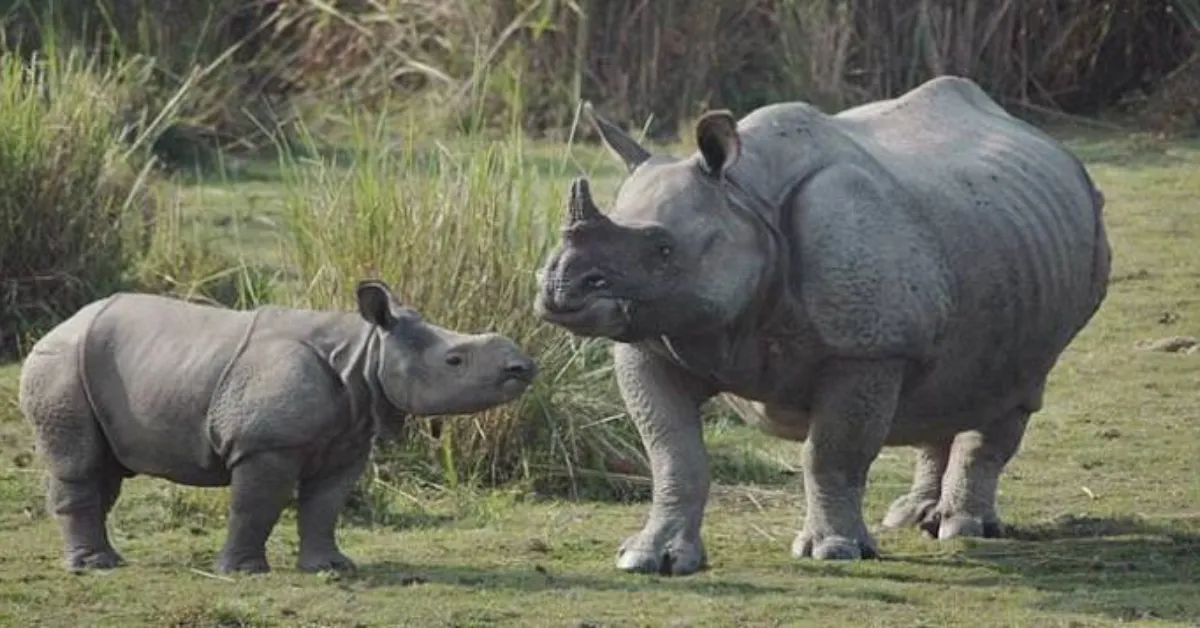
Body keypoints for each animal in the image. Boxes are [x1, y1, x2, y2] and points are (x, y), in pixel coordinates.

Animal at [19, 279, 537, 574]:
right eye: (455, 360)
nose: (524, 367)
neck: (365, 354)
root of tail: (57, 326)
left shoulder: (348, 438)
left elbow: (325, 505)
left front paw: (332, 569)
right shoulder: (266, 443)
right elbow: (256, 505)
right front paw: (244, 572)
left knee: (105, 469)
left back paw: (102, 559)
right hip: (60, 364)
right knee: (80, 462)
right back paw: (95, 567)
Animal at [534, 76, 1111, 575]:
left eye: (663, 250)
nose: (559, 287)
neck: (745, 197)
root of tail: (1052, 145)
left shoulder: (867, 348)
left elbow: (831, 453)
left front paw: (833, 551)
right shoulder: (650, 340)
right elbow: (673, 454)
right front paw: (650, 558)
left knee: (1014, 383)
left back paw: (961, 527)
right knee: (945, 381)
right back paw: (911, 517)